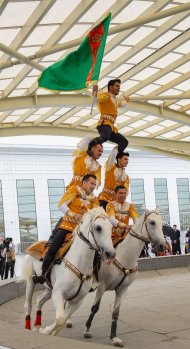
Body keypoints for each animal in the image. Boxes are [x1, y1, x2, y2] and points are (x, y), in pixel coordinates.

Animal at [66, 208, 165, 344]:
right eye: (152, 222)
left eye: (162, 224)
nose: (162, 246)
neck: (125, 257)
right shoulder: (101, 286)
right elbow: (94, 308)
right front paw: (87, 330)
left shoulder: (122, 289)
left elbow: (116, 313)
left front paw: (114, 337)